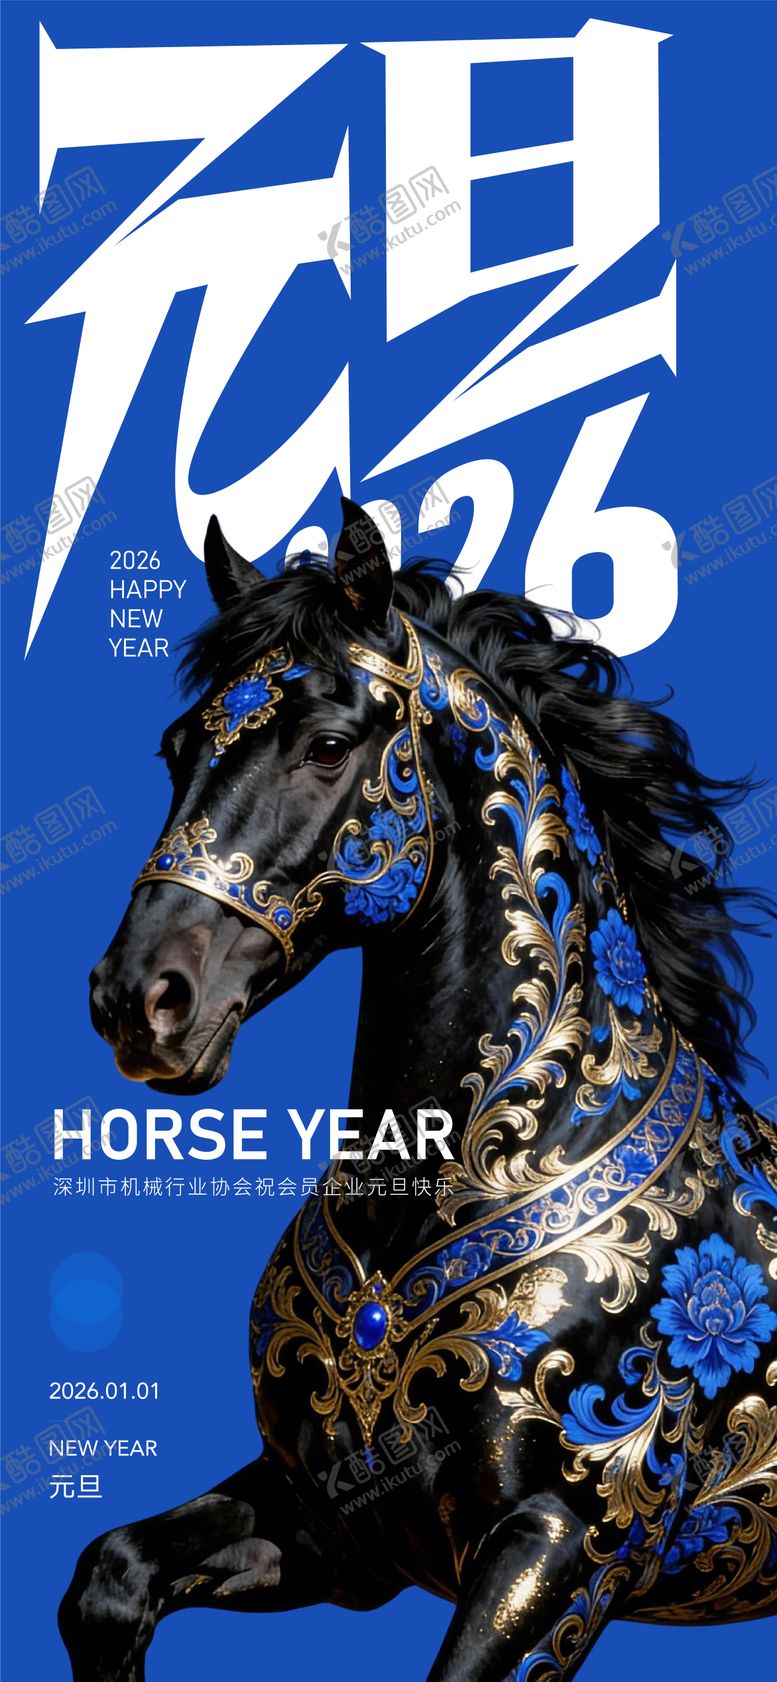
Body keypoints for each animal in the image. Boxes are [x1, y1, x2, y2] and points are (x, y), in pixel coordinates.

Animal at [60, 499, 777, 1682]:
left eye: (327, 745)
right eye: (175, 749)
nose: (140, 1000)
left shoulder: (567, 1547)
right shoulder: (335, 1527)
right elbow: (108, 1579)